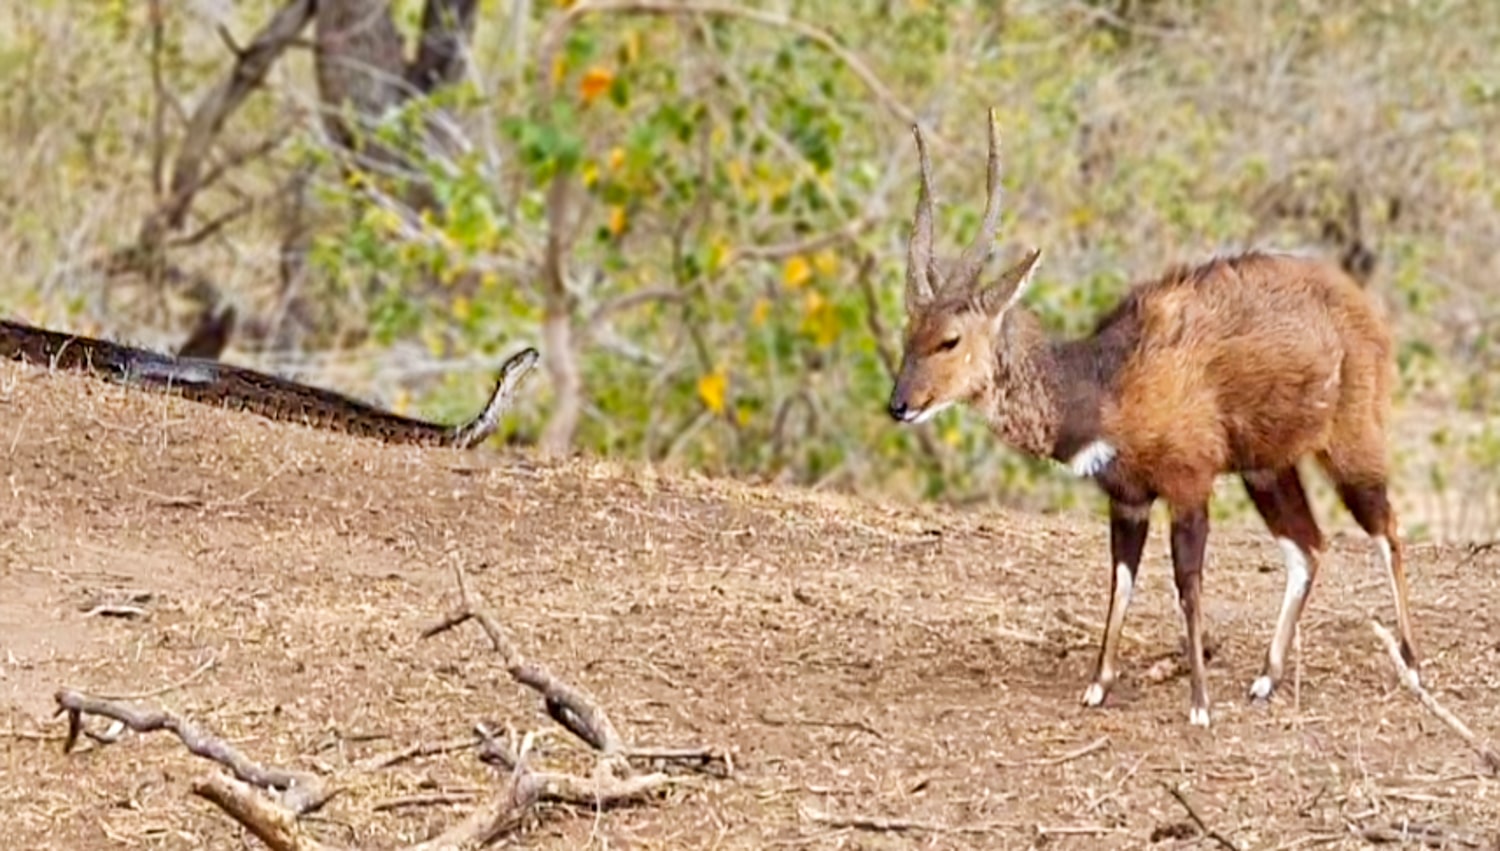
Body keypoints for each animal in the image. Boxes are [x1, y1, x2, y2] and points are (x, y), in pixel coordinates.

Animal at [882, 109, 1422, 729]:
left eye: (949, 340)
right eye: (908, 333)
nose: (899, 405)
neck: (1104, 383)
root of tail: (1369, 312)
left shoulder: (1188, 485)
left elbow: (1186, 582)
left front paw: (1200, 705)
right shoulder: (1128, 498)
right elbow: (1121, 579)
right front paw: (1097, 687)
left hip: (1350, 443)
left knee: (1386, 529)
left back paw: (1411, 667)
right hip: (1265, 467)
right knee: (1308, 547)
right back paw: (1266, 678)